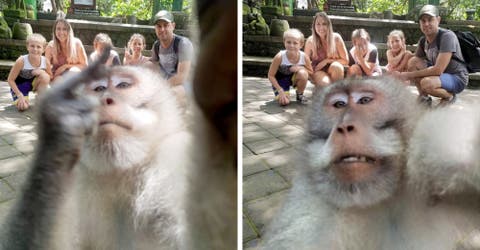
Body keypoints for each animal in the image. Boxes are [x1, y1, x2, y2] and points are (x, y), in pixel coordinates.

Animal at [0, 0, 238, 248]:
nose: (106, 100)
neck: (122, 175)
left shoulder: (174, 158)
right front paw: (61, 123)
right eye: (99, 89)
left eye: (123, 85)